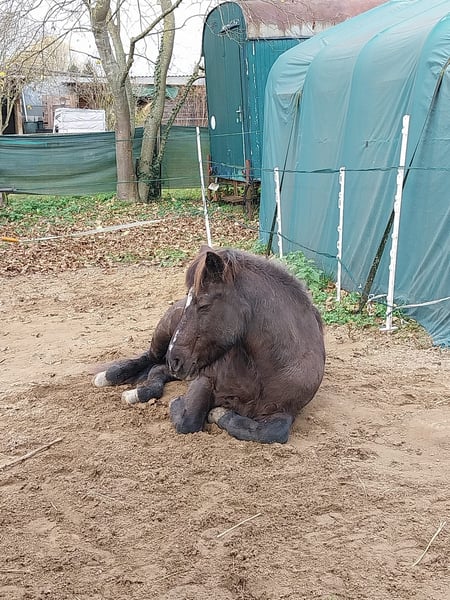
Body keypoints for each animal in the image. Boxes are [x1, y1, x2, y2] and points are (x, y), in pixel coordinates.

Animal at [94, 247, 326, 444]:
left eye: (204, 304)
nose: (174, 358)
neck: (263, 371)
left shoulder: (285, 411)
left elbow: (272, 433)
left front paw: (219, 414)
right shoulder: (205, 380)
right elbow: (189, 421)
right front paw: (179, 404)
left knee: (158, 370)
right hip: (163, 337)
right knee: (148, 359)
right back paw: (109, 377)